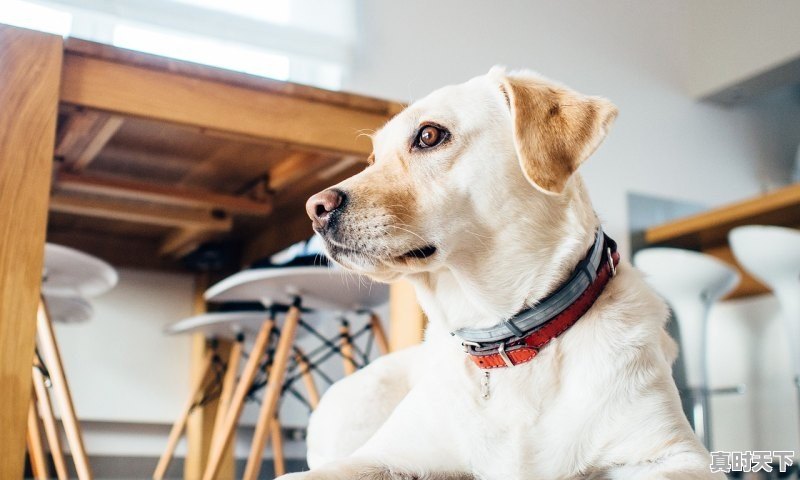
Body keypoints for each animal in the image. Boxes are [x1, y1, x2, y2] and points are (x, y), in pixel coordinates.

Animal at [282, 67, 720, 480]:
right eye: (372, 160)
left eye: (429, 135)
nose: (314, 209)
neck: (503, 338)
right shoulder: (382, 456)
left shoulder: (676, 456)